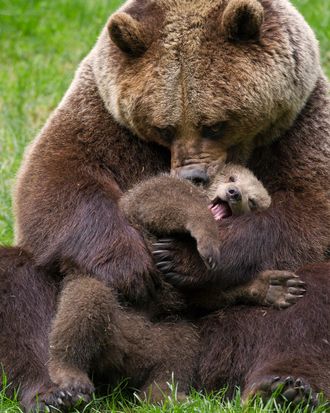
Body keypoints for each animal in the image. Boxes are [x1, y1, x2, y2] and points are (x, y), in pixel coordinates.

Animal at [0, 0, 328, 408]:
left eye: (215, 124)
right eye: (163, 127)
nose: (194, 175)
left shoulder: (302, 124)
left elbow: (307, 210)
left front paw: (185, 257)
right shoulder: (102, 114)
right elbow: (56, 177)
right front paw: (132, 265)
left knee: (308, 298)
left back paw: (284, 385)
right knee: (22, 286)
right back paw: (55, 390)